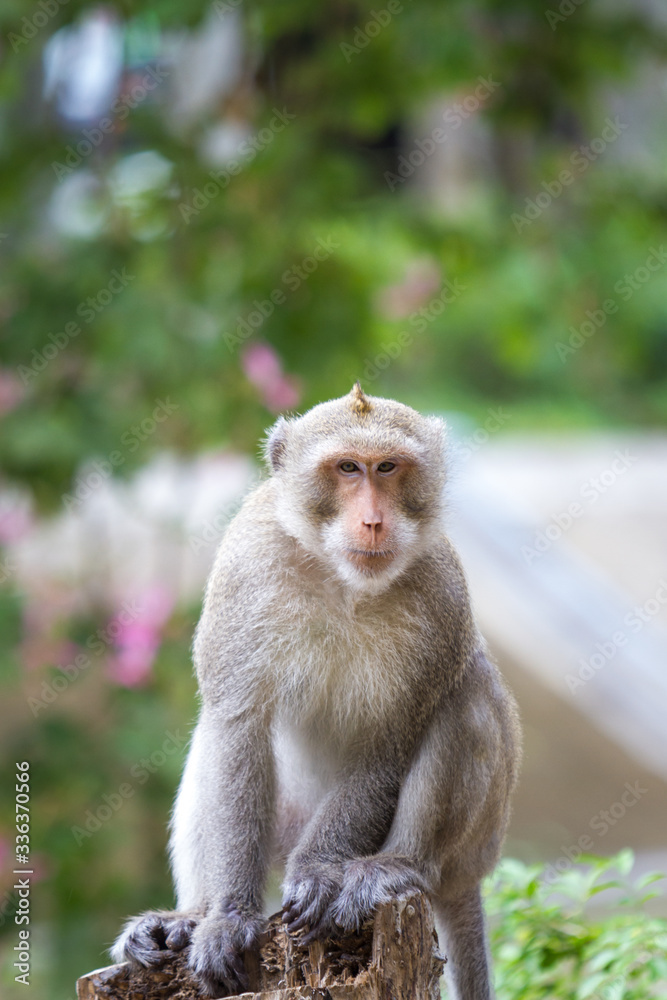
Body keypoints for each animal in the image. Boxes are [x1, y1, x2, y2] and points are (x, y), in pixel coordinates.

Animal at [111, 382, 520, 1000]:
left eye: (388, 467)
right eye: (348, 468)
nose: (373, 521)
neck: (341, 581)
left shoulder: (442, 596)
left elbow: (388, 746)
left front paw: (317, 872)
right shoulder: (245, 567)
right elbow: (237, 725)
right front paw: (227, 917)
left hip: (480, 840)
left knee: (466, 690)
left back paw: (399, 866)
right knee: (215, 735)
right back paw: (190, 915)